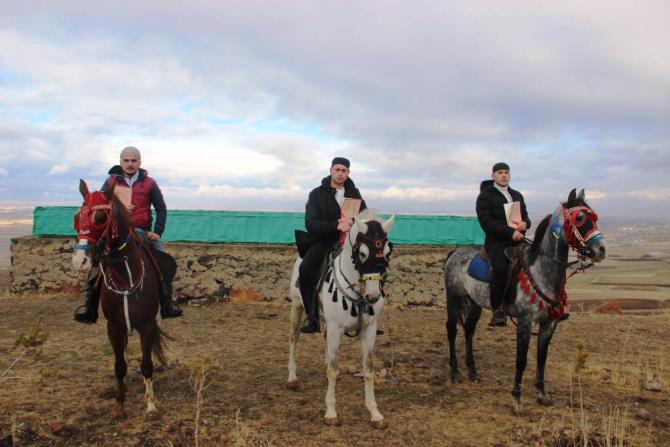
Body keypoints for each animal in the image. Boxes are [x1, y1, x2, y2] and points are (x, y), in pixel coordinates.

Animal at [71, 180, 175, 418]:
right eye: (77, 216)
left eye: (101, 217)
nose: (80, 261)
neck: (126, 273)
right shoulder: (114, 326)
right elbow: (119, 365)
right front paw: (119, 404)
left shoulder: (147, 325)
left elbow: (147, 364)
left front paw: (151, 405)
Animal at [288, 212, 394, 428]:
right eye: (362, 253)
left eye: (387, 252)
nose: (372, 297)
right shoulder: (336, 328)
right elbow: (334, 370)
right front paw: (331, 413)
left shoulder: (369, 330)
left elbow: (368, 369)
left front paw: (375, 413)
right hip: (297, 307)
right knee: (294, 338)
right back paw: (292, 378)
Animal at [446, 188, 608, 412]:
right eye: (580, 218)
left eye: (595, 217)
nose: (601, 249)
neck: (541, 270)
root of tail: (455, 252)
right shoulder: (525, 322)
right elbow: (521, 360)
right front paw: (516, 399)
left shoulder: (550, 323)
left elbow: (541, 358)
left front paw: (541, 394)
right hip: (454, 299)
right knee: (452, 331)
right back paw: (454, 373)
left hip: (475, 304)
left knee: (469, 330)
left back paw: (473, 372)